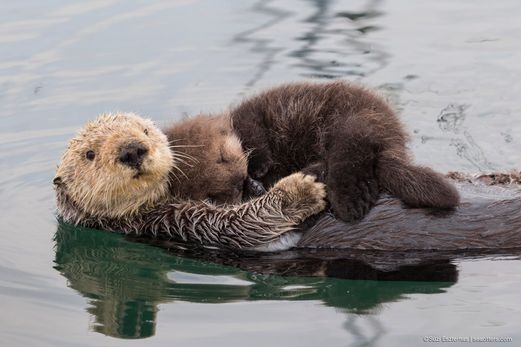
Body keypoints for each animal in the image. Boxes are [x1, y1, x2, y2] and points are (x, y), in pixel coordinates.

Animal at [53, 113, 330, 249]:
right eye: (89, 154)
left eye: (145, 131)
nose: (131, 150)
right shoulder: (171, 221)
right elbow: (240, 224)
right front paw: (300, 191)